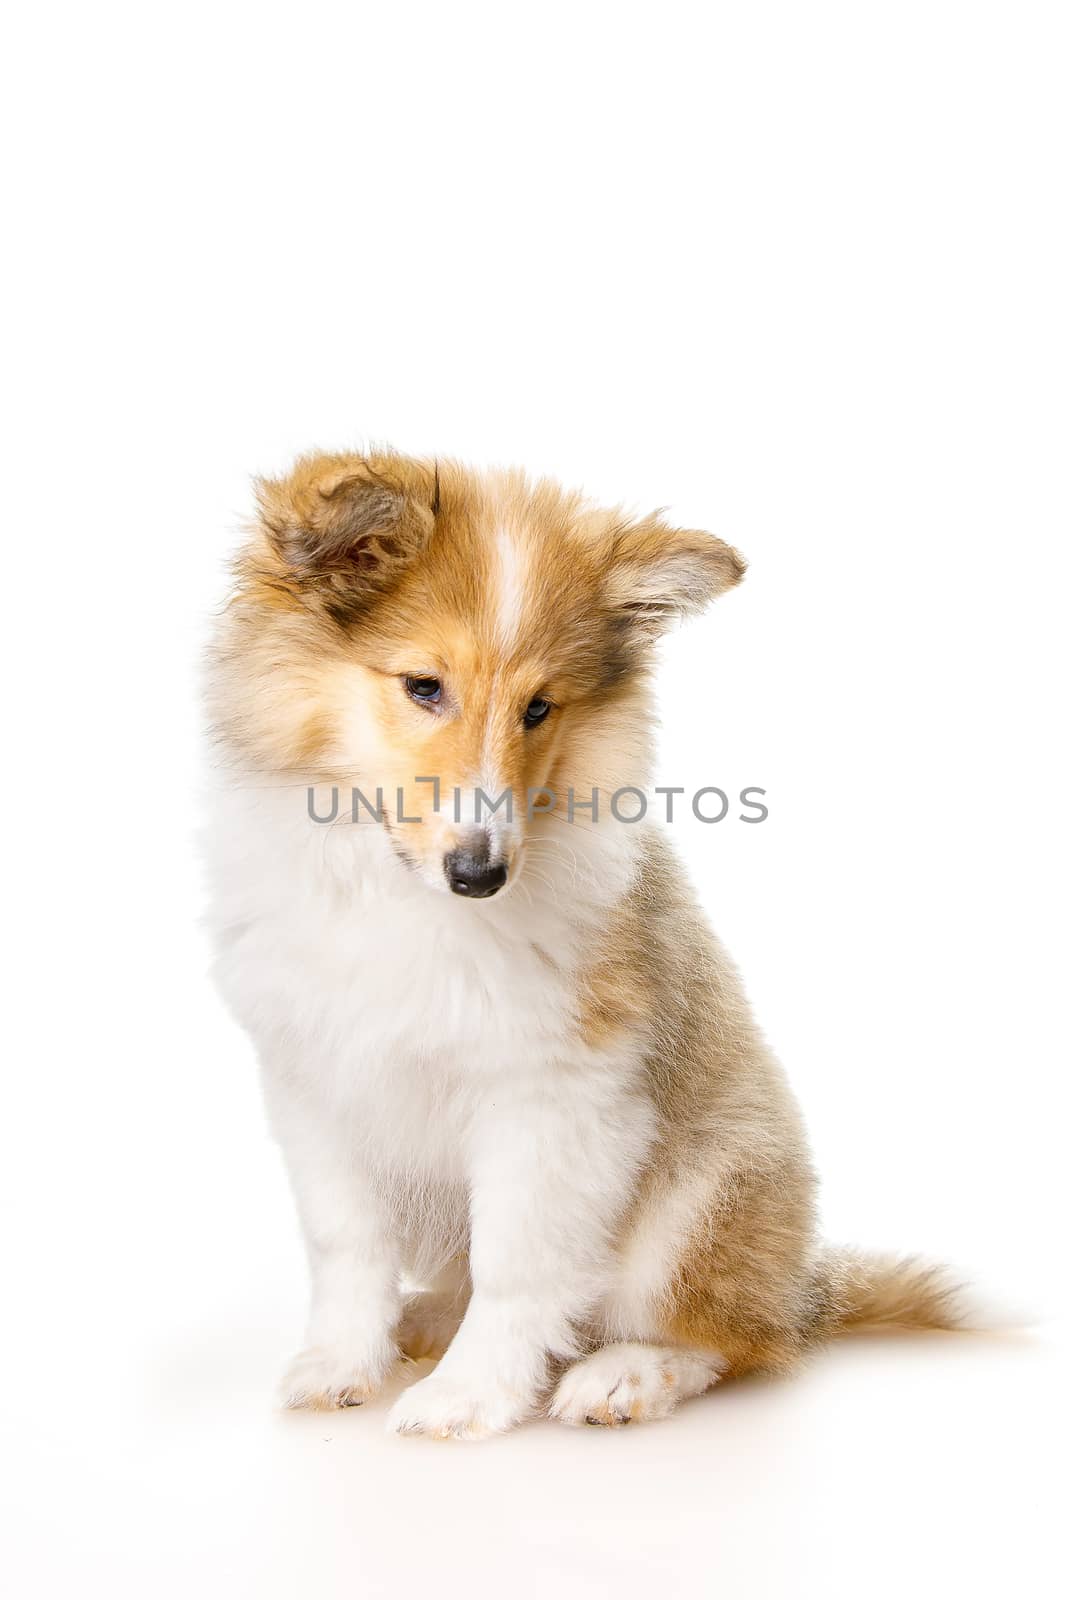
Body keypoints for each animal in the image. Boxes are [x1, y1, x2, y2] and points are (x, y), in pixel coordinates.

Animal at [202, 451, 979, 1440]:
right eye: (423, 686)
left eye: (539, 708)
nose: (480, 874)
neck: (404, 896)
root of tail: (808, 1289)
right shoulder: (315, 1081)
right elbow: (347, 1243)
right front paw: (341, 1365)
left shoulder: (554, 1095)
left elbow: (515, 1264)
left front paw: (467, 1397)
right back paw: (428, 1322)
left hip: (702, 1196)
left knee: (734, 1340)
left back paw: (620, 1375)